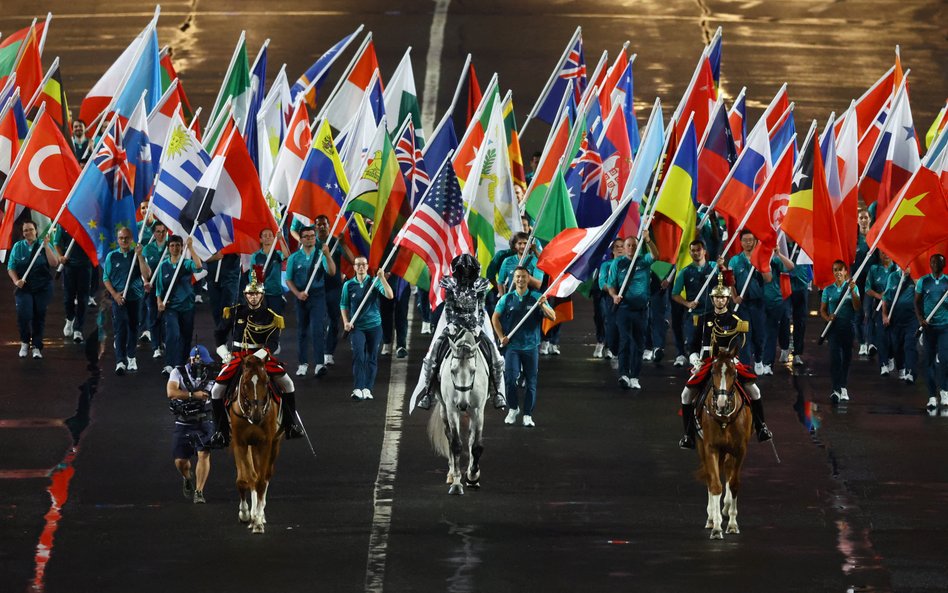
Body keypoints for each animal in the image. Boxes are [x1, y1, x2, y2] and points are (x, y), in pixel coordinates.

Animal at [229, 352, 282, 532]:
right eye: (245, 384)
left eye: (266, 382)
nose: (257, 415)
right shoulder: (239, 443)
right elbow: (244, 479)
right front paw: (245, 513)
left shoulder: (265, 443)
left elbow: (260, 481)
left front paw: (258, 520)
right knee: (251, 475)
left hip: (274, 444)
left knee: (265, 476)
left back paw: (259, 513)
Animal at [428, 326, 488, 492]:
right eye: (453, 371)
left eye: (473, 370)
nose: (462, 405)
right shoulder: (451, 410)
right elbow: (455, 444)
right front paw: (456, 483)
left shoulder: (478, 411)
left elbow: (476, 446)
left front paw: (473, 476)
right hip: (444, 411)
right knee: (449, 437)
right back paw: (451, 474)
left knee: (471, 440)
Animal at [692, 344, 752, 540]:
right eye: (712, 371)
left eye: (734, 372)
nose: (722, 404)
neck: (725, 418)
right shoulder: (711, 448)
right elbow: (715, 485)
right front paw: (717, 527)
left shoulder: (739, 450)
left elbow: (733, 484)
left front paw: (732, 524)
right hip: (704, 448)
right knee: (711, 479)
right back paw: (712, 518)